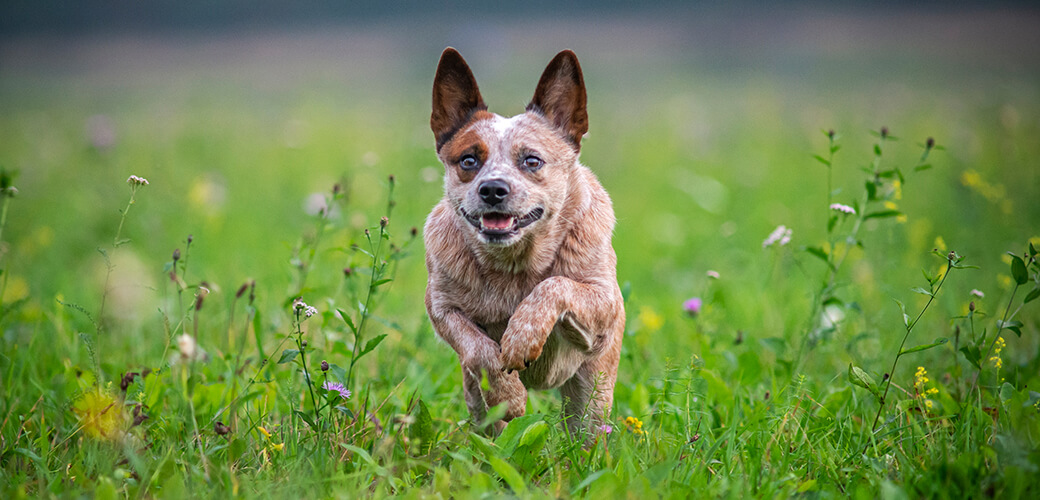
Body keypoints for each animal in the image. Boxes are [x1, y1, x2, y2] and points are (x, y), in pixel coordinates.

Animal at [424, 48, 624, 434]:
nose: (492, 189)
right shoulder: (440, 305)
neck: (514, 267)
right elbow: (478, 348)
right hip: (477, 405)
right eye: (468, 160)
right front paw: (508, 393)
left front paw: (520, 338)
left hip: (591, 396)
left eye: (532, 160)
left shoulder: (604, 301)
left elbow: (554, 284)